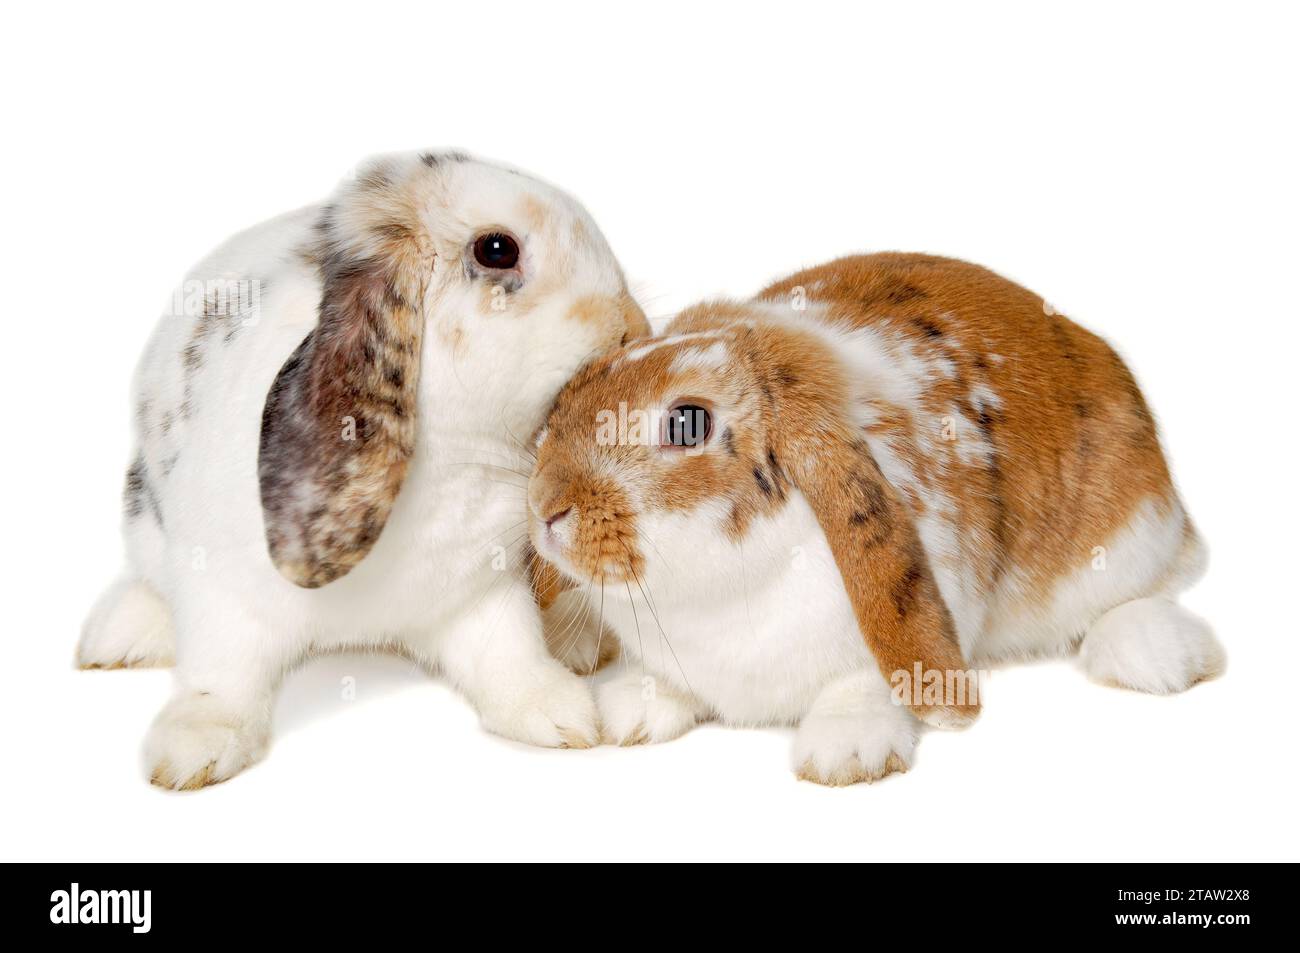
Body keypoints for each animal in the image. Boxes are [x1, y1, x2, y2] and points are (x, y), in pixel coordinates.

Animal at [78, 150, 649, 789]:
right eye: (497, 249)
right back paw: (119, 634)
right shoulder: (224, 595)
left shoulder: (481, 592)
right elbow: (220, 674)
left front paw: (558, 713)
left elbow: (509, 652)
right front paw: (194, 747)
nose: (631, 327)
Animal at [526, 252, 1223, 786]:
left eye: (687, 423)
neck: (709, 597)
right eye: (580, 384)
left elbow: (865, 683)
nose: (544, 507)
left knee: (1146, 593)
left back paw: (1154, 656)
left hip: (1130, 536)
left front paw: (844, 754)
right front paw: (631, 709)